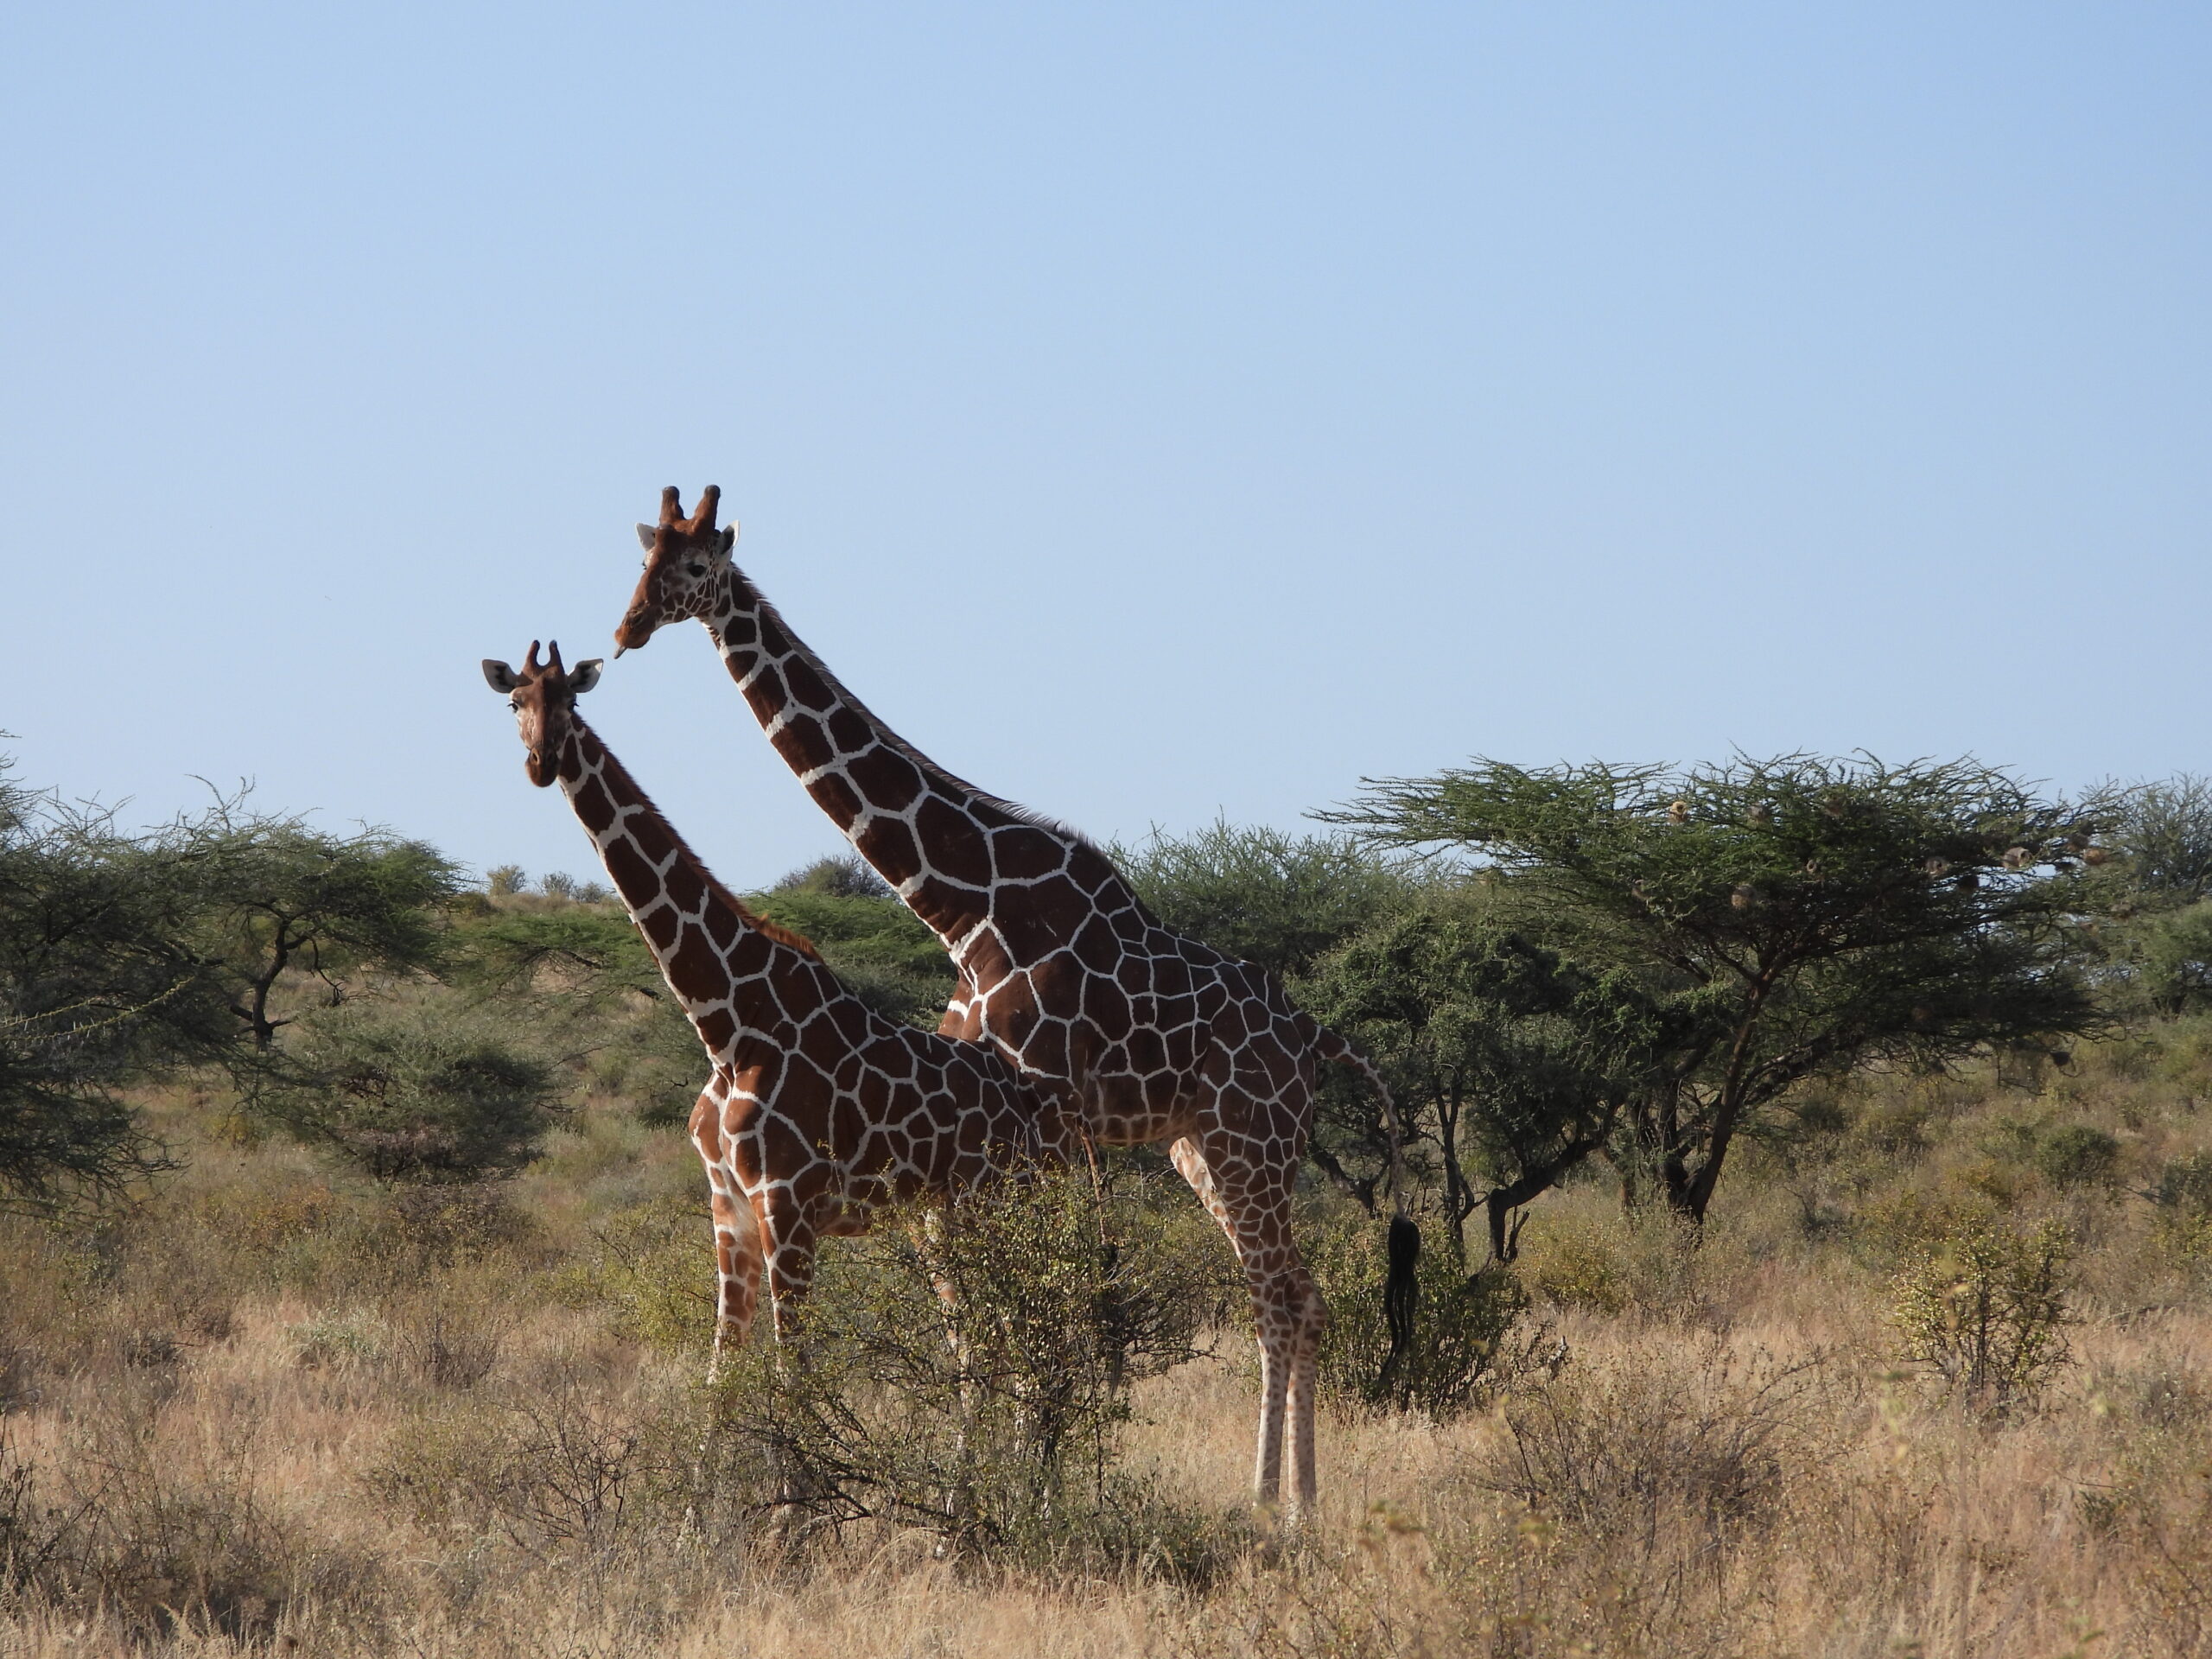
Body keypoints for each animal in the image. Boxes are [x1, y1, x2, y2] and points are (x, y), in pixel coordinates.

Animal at [481, 639, 1071, 1357]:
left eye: (570, 698)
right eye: (515, 701)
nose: (543, 762)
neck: (727, 1024)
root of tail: (1032, 1105)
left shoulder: (787, 1203)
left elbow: (795, 1364)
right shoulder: (727, 1209)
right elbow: (724, 1368)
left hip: (1005, 1199)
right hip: (943, 1215)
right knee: (984, 1336)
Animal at [611, 487, 1405, 1519]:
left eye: (696, 568)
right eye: (639, 560)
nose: (627, 629)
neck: (964, 902)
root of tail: (1317, 1036)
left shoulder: (1044, 1116)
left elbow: (1046, 1306)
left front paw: (1031, 1491)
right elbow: (999, 1315)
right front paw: (1005, 1486)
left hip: (1251, 1138)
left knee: (1281, 1299)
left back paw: (1273, 1506)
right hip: (1197, 1148)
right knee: (1292, 1296)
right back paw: (1291, 1502)